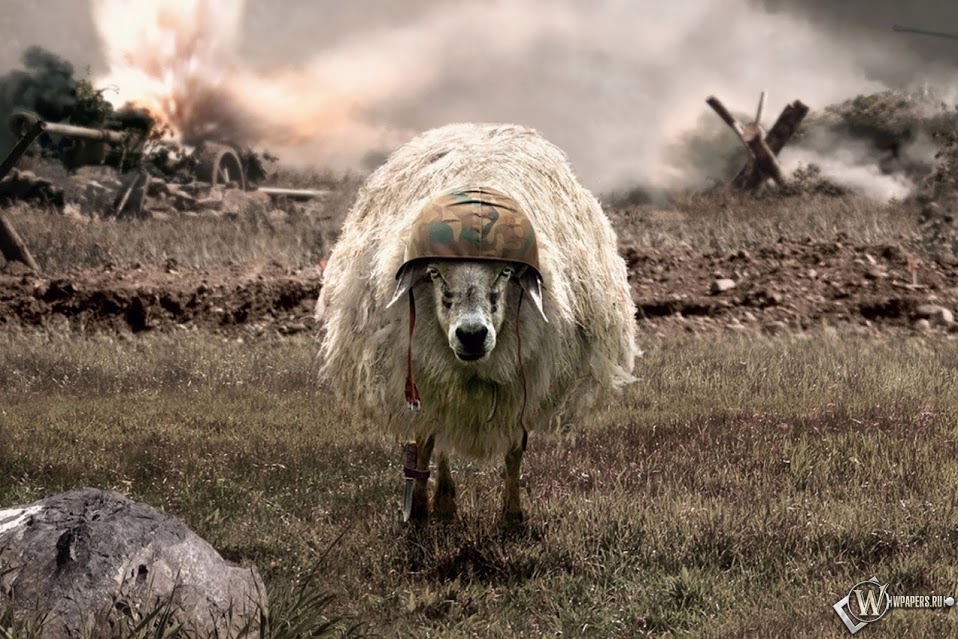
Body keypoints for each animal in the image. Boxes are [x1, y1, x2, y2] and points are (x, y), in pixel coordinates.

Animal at [317, 122, 639, 524]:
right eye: (435, 273)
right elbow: (424, 441)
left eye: (505, 272)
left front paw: (512, 516)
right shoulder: (423, 375)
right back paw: (443, 500)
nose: (471, 335)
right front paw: (420, 509)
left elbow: (514, 452)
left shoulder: (522, 381)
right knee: (436, 437)